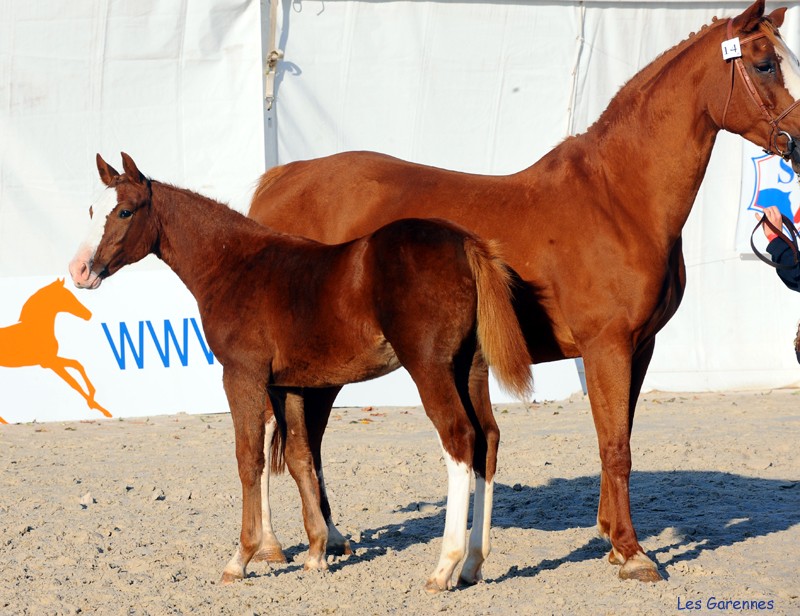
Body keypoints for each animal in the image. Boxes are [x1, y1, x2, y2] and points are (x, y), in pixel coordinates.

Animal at [69, 154, 532, 592]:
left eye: (125, 211)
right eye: (91, 209)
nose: (79, 271)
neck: (235, 266)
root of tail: (466, 242)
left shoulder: (242, 375)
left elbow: (249, 459)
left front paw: (242, 558)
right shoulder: (288, 384)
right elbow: (299, 457)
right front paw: (316, 552)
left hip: (430, 367)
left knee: (459, 437)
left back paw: (444, 567)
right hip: (469, 369)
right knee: (486, 439)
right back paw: (472, 564)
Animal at [250, 2, 800, 584]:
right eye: (765, 64)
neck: (618, 199)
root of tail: (282, 181)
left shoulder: (640, 348)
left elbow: (619, 435)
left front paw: (610, 537)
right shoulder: (607, 347)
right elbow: (615, 446)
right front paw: (632, 552)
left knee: (309, 434)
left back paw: (330, 538)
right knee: (268, 429)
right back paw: (269, 547)